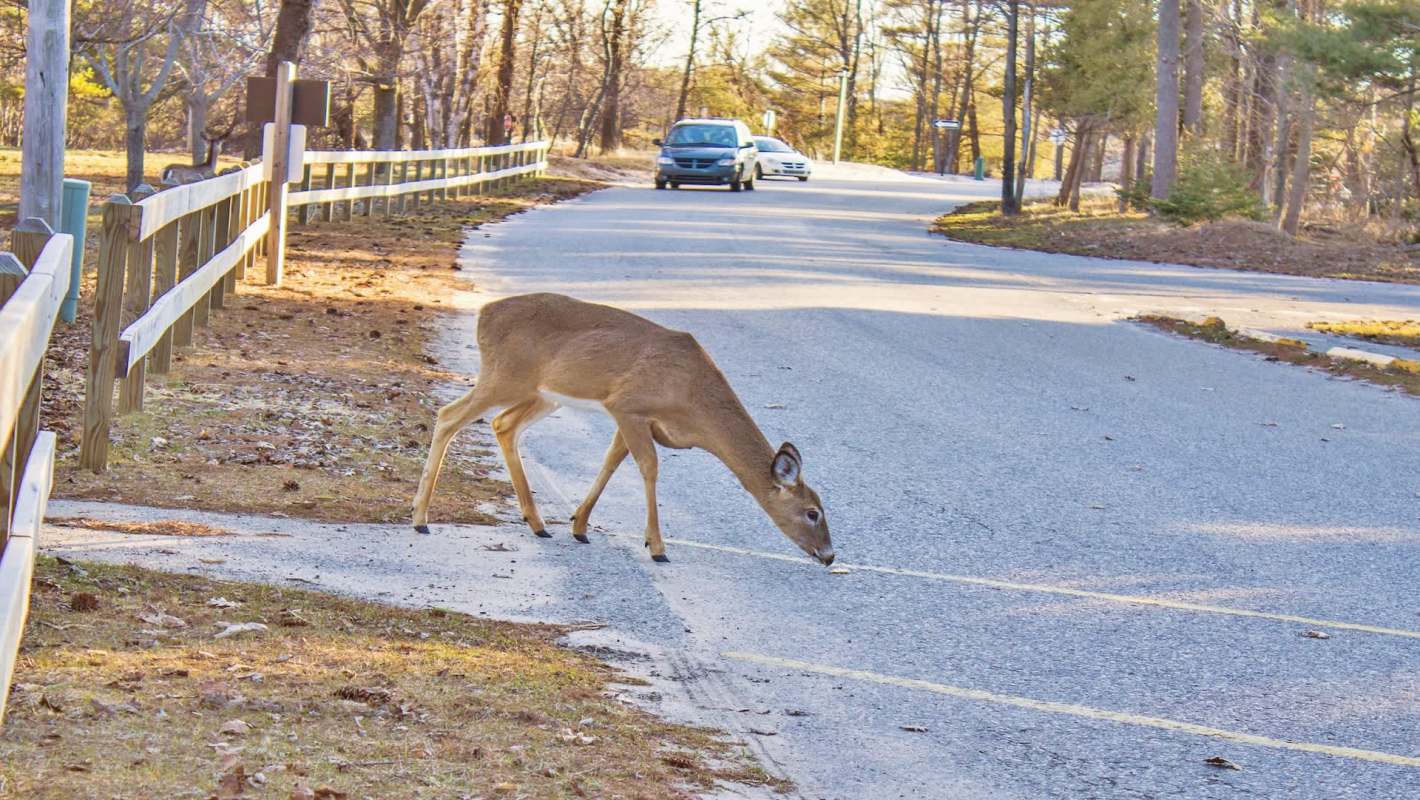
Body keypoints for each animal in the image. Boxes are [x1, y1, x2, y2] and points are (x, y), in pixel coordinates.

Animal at [411, 293, 835, 566]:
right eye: (813, 512)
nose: (830, 556)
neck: (693, 398)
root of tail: (484, 311)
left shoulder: (634, 418)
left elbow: (612, 461)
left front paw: (580, 526)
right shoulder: (628, 406)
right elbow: (648, 468)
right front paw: (657, 546)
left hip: (544, 394)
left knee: (504, 425)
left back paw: (538, 523)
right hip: (506, 376)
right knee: (449, 415)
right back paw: (420, 519)